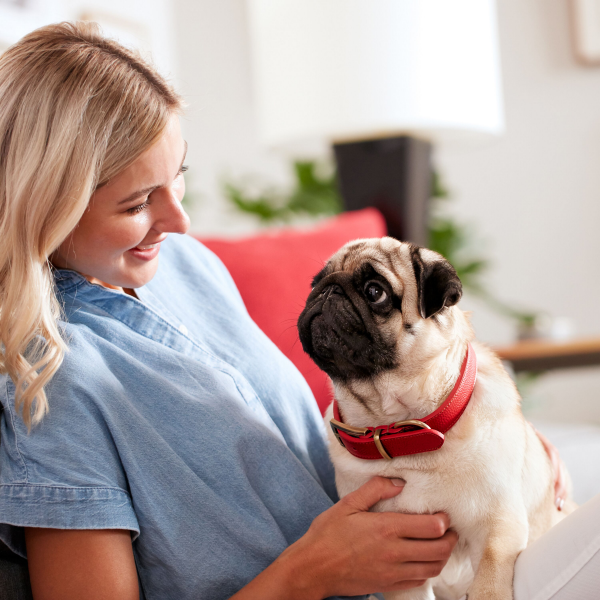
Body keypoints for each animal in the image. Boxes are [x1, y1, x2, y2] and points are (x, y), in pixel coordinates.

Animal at [298, 238, 576, 600]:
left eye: (375, 291)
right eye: (314, 284)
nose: (328, 290)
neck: (404, 428)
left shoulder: (498, 528)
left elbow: (489, 583)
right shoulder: (404, 569)